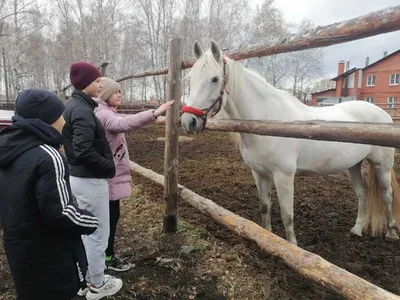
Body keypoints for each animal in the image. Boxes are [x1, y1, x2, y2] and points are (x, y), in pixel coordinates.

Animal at [181, 40, 400, 246]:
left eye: (215, 79)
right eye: (190, 79)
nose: (188, 121)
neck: (267, 123)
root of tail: (383, 114)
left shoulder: (283, 176)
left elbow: (287, 215)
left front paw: (292, 246)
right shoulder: (259, 174)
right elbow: (265, 206)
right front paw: (267, 236)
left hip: (381, 165)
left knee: (387, 195)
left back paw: (391, 232)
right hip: (353, 165)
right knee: (362, 193)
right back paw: (357, 229)